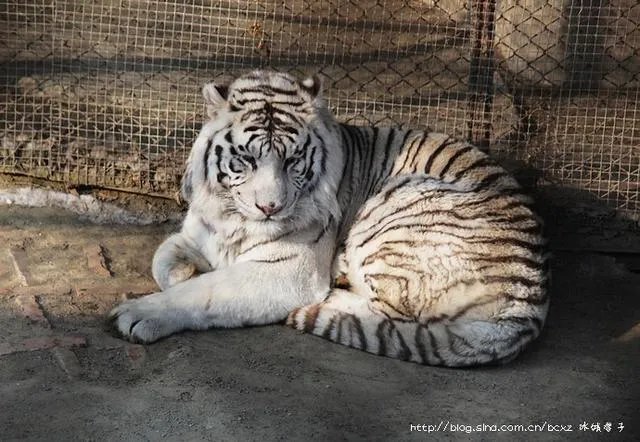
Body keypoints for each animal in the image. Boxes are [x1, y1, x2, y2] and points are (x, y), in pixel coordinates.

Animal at [109, 70, 549, 367]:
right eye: (246, 159)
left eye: (292, 160)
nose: (270, 207)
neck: (233, 219)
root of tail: (529, 307)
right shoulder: (197, 233)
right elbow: (163, 262)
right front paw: (185, 272)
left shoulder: (287, 270)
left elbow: (206, 292)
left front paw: (140, 313)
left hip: (397, 206)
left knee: (393, 312)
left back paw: (333, 296)